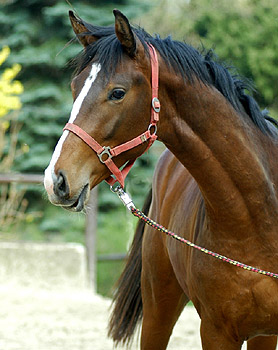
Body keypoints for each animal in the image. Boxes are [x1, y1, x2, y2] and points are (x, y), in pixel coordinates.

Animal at [43, 9, 278, 348]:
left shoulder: (262, 333)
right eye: (75, 89)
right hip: (158, 305)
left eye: (117, 92)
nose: (55, 180)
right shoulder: (216, 331)